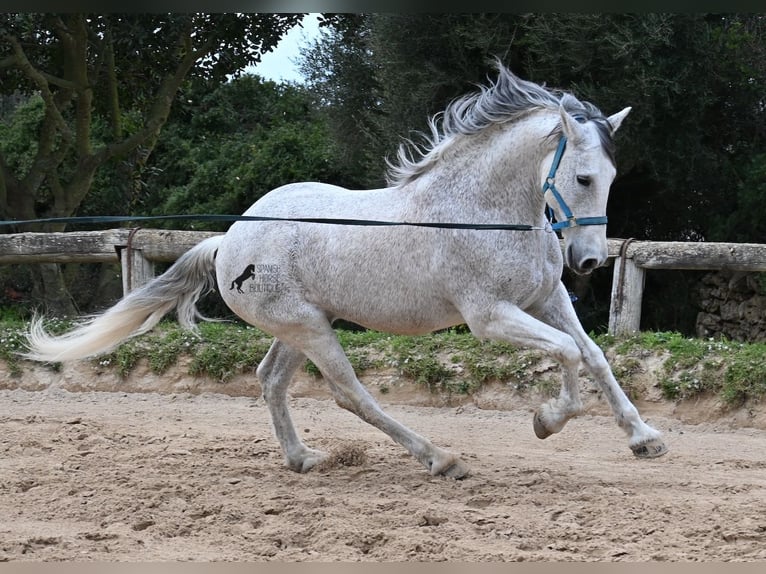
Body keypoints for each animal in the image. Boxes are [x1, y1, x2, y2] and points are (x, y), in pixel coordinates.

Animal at [27, 63, 668, 480]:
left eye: (612, 177)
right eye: (583, 177)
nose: (588, 260)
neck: (484, 210)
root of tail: (229, 238)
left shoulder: (545, 299)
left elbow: (593, 354)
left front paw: (645, 440)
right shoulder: (490, 318)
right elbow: (566, 353)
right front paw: (546, 420)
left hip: (301, 325)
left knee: (270, 380)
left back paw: (302, 459)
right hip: (310, 328)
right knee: (349, 393)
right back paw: (439, 458)